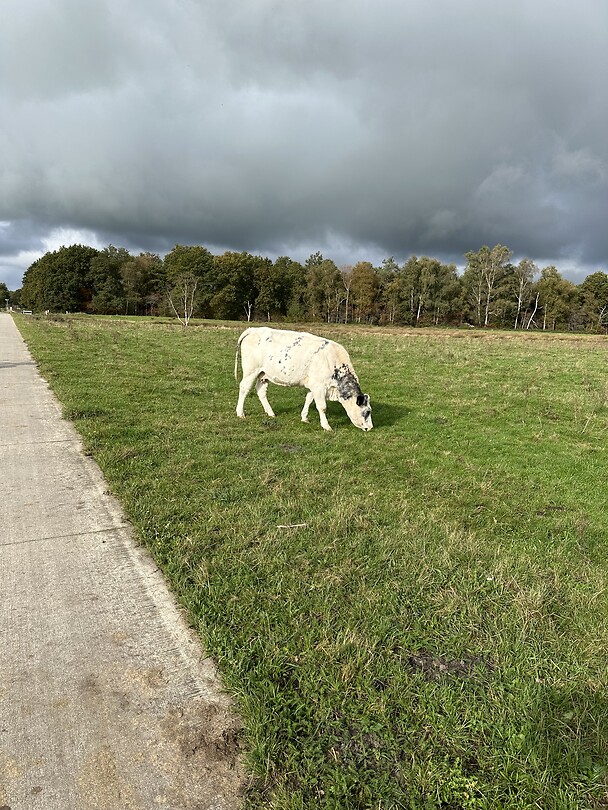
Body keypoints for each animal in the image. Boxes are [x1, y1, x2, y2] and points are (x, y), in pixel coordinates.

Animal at [235, 327, 373, 432]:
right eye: (367, 411)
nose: (370, 428)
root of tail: (253, 329)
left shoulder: (313, 385)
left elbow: (308, 399)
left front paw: (304, 418)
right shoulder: (319, 386)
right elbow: (322, 407)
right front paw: (326, 426)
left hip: (263, 374)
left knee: (261, 391)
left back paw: (270, 413)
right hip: (250, 371)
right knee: (244, 388)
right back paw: (240, 413)